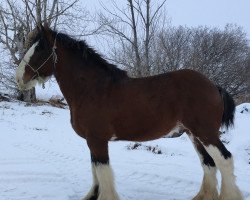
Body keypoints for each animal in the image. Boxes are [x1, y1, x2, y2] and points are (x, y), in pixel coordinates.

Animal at [14, 25, 243, 200]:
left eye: (40, 49)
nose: (19, 78)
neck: (93, 89)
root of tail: (213, 85)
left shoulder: (97, 140)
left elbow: (102, 173)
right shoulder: (92, 141)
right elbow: (95, 171)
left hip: (205, 133)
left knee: (224, 160)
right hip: (194, 134)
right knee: (209, 164)